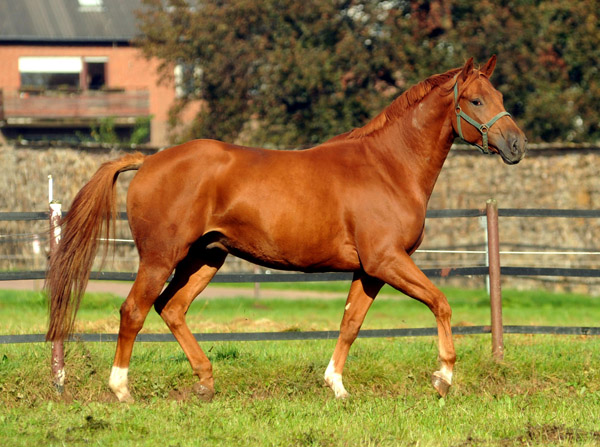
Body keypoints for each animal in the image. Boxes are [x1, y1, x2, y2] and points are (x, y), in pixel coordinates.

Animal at [45, 56, 524, 402]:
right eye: (475, 100)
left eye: (499, 93)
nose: (517, 145)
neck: (388, 166)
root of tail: (148, 161)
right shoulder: (387, 261)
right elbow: (440, 303)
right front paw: (443, 378)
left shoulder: (370, 270)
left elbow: (351, 323)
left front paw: (336, 386)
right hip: (161, 258)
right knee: (134, 311)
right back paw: (121, 389)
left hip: (206, 257)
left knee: (172, 309)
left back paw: (205, 382)